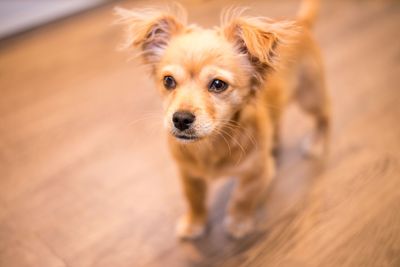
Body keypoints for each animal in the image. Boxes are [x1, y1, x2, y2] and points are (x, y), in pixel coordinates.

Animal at [115, 0, 328, 240]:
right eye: (168, 81)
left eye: (218, 84)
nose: (180, 119)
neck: (210, 146)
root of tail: (301, 22)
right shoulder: (188, 174)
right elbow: (194, 199)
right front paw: (194, 223)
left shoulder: (258, 173)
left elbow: (242, 197)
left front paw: (238, 222)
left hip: (311, 97)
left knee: (325, 117)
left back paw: (317, 143)